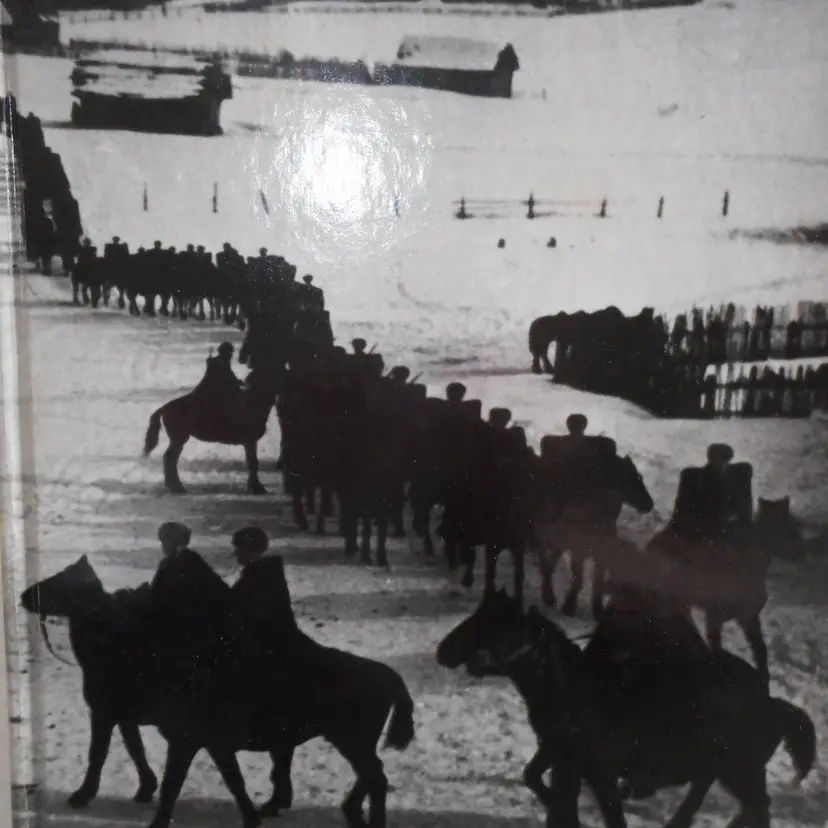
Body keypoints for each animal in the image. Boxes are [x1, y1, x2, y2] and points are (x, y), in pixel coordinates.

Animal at [21, 556, 416, 828]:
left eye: (61, 581)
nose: (25, 596)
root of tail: (394, 678)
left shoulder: (139, 723)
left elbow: (124, 763)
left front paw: (86, 796)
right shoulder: (194, 736)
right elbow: (226, 778)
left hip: (351, 739)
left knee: (376, 776)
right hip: (351, 741)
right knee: (371, 774)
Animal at [142, 366, 281, 495]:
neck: (252, 404)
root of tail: (165, 408)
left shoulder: (250, 442)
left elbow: (252, 462)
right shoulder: (250, 441)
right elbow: (253, 462)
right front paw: (257, 488)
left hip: (179, 440)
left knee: (170, 458)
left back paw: (175, 487)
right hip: (179, 439)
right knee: (169, 458)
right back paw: (178, 488)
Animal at [437, 589, 816, 828]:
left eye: (497, 627)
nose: (444, 651)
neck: (574, 690)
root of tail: (771, 701)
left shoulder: (598, 775)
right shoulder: (565, 767)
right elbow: (552, 801)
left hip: (740, 771)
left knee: (756, 809)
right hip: (724, 769)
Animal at [533, 442, 654, 617]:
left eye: (640, 477)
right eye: (631, 478)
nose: (650, 504)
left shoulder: (601, 550)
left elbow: (597, 581)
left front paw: (597, 610)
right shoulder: (578, 547)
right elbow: (579, 579)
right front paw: (569, 606)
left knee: (549, 564)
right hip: (547, 534)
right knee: (545, 562)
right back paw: (549, 596)